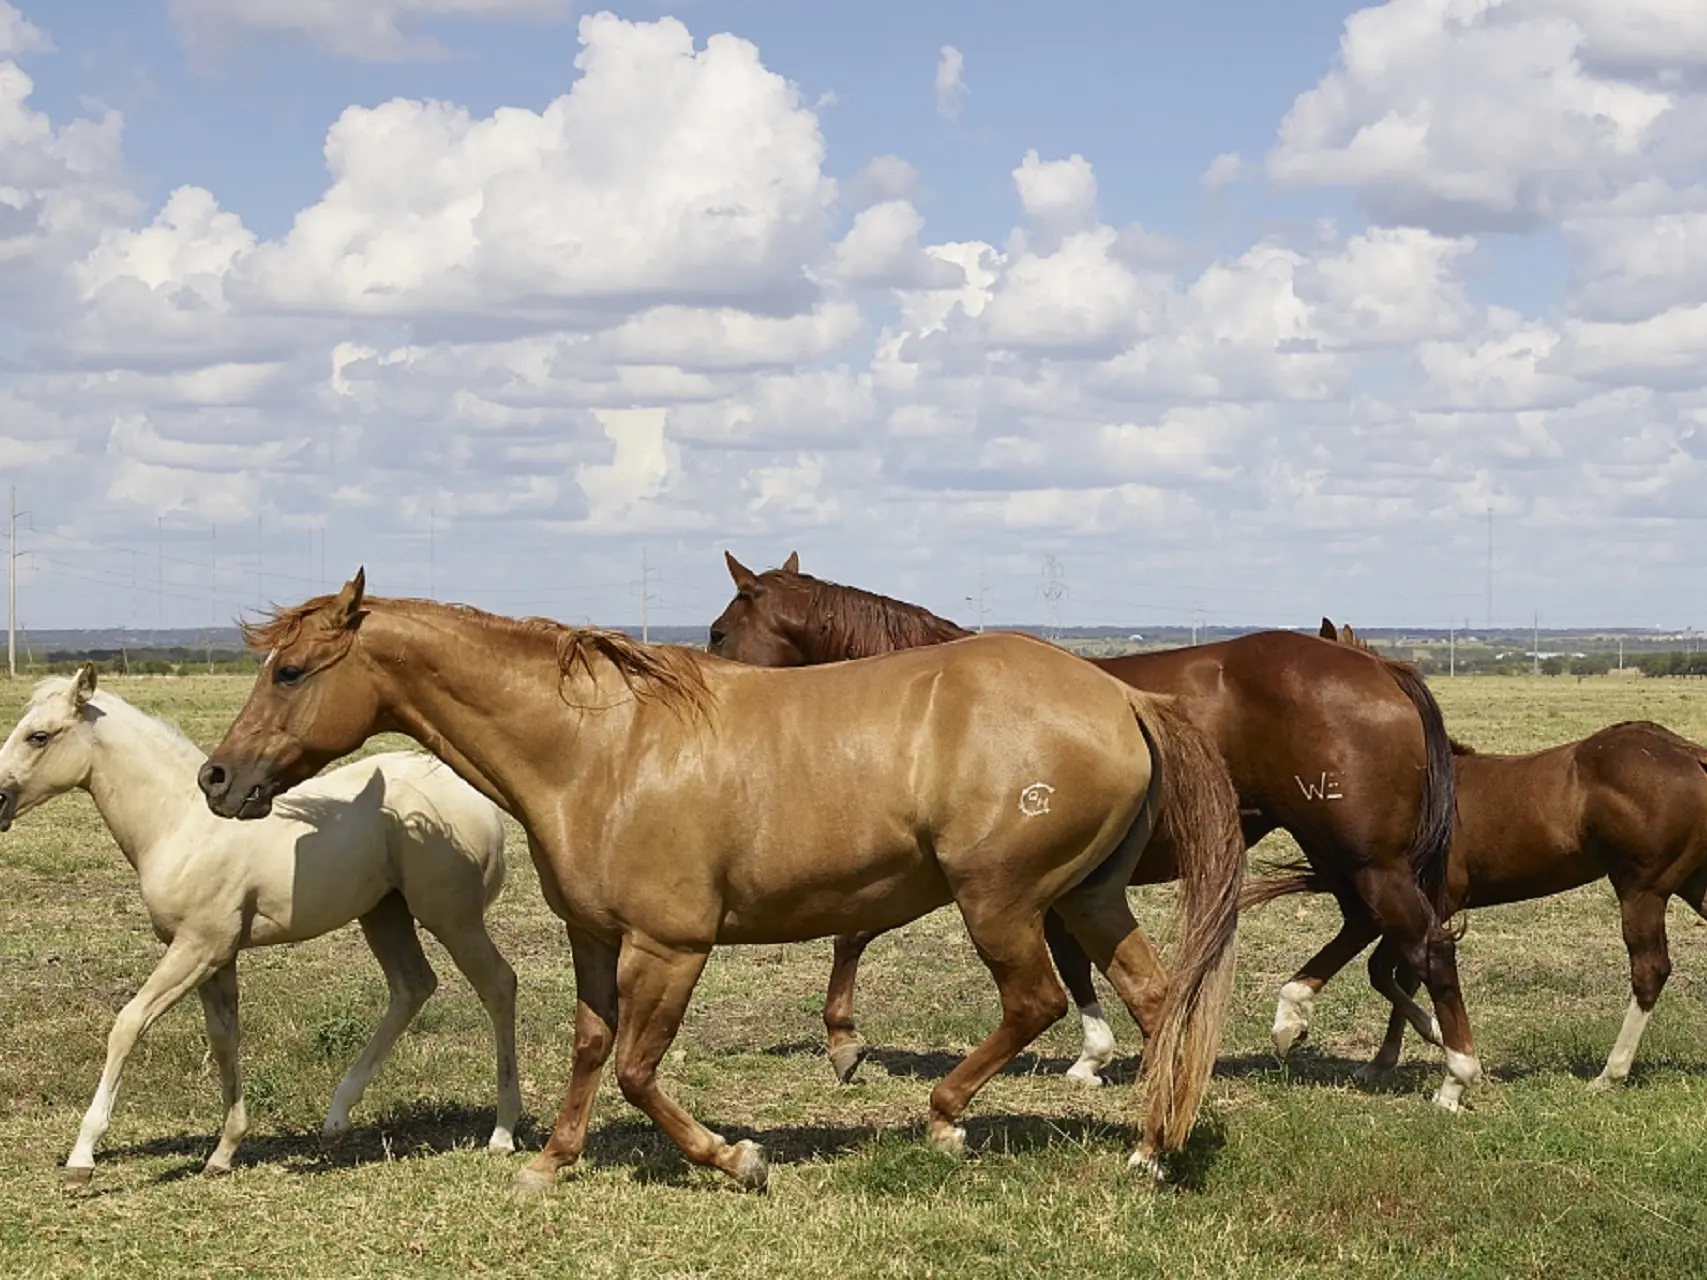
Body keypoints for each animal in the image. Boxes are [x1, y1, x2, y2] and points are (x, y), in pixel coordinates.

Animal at [0, 665, 518, 1187]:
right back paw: (336, 1120)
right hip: (383, 913)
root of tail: (478, 801)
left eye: (38, 736)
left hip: (451, 916)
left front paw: (82, 1157)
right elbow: (224, 1038)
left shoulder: (198, 947)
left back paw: (503, 1131)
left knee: (497, 984)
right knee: (413, 986)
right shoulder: (218, 956)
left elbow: (128, 1023)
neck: (182, 824)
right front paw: (223, 1152)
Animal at [196, 573, 1242, 1194]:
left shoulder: (672, 945)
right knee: (1157, 999)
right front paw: (550, 1160)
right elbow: (590, 1045)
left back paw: (948, 1122)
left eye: (290, 671)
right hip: (1089, 896)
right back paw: (1152, 1148)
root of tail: (1121, 695)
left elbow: (635, 1067)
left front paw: (735, 1157)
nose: (217, 779)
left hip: (1004, 901)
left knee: (1034, 1001)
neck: (599, 750)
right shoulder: (593, 936)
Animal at [706, 552, 1481, 1112]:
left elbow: (853, 933)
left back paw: (1455, 1072)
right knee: (1370, 925)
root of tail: (1378, 667)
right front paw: (1097, 1054)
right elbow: (1079, 961)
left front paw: (843, 1039)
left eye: (717, 631)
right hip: (1343, 851)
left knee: (1426, 942)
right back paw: (1298, 1012)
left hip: (1363, 854)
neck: (933, 695)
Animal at [1270, 621, 1707, 1092]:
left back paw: (1610, 1073)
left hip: (1643, 888)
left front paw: (1430, 1040)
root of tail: (1690, 753)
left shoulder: (1425, 899)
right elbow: (1397, 972)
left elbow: (1390, 969)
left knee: (1649, 970)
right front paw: (1385, 1057)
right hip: (1690, 882)